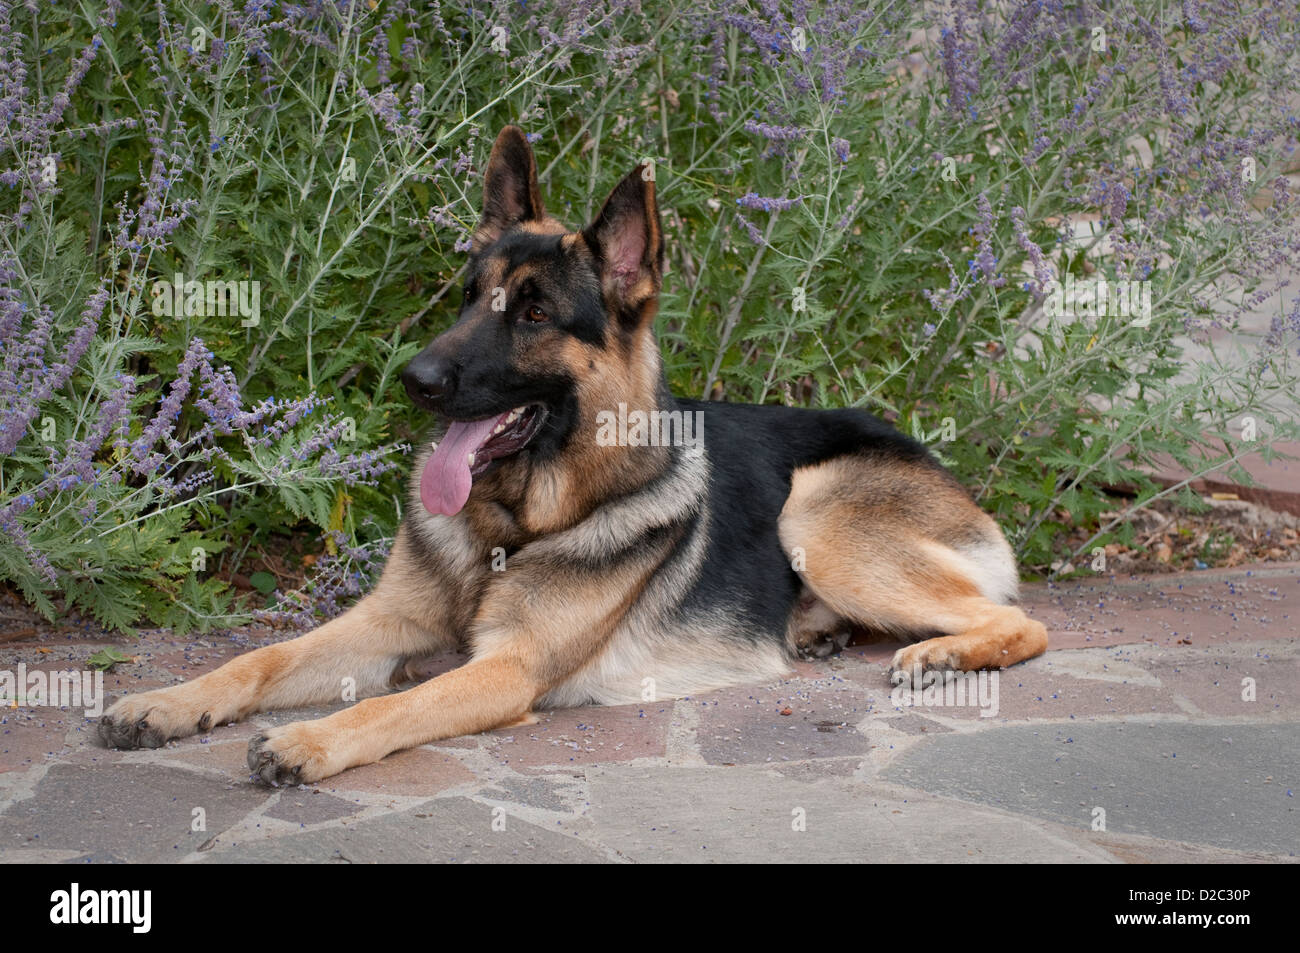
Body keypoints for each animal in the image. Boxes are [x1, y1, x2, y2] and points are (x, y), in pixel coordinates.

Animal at [96, 126, 1050, 780]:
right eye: (469, 297)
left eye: (533, 313)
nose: (414, 378)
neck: (512, 522)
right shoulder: (385, 623)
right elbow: (261, 658)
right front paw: (167, 702)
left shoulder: (505, 668)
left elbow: (400, 702)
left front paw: (307, 737)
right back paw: (820, 629)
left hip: (813, 509)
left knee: (1020, 620)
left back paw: (937, 654)